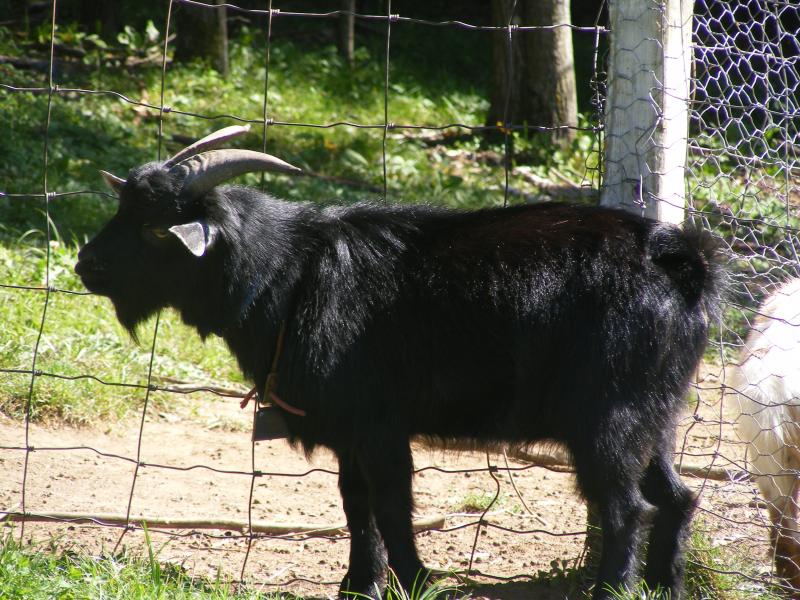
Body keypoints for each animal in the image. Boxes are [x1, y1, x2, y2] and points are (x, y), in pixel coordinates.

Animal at [74, 125, 724, 599]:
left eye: (156, 229)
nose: (86, 266)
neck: (288, 276)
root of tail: (681, 261)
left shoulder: (378, 423)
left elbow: (390, 503)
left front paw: (412, 582)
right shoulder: (347, 430)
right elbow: (354, 502)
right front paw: (359, 585)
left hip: (606, 418)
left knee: (625, 508)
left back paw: (612, 590)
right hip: (655, 412)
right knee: (678, 497)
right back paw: (667, 588)